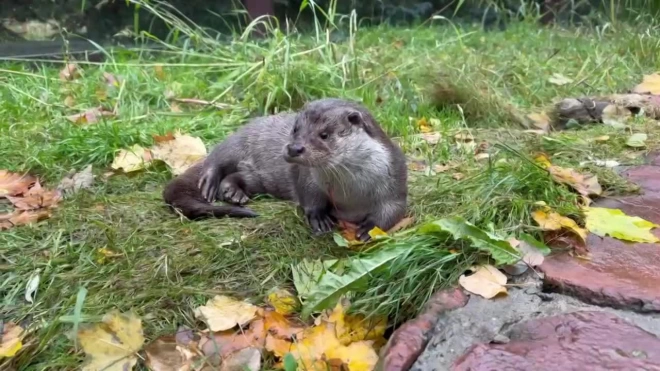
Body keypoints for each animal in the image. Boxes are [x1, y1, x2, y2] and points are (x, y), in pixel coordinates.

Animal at [164, 99, 408, 243]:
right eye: (295, 129)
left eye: (325, 134)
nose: (294, 148)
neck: (350, 194)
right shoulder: (307, 179)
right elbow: (309, 198)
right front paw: (319, 217)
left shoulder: (395, 176)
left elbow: (393, 209)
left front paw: (369, 228)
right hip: (240, 140)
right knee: (218, 157)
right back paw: (211, 180)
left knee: (239, 176)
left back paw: (233, 193)